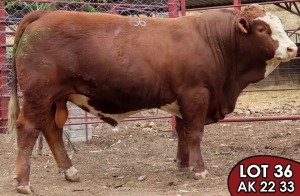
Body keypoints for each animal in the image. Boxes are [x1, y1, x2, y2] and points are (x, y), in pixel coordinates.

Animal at [8, 3, 296, 194]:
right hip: (39, 94)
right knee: (28, 129)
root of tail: (45, 13)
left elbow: (182, 131)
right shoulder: (196, 93)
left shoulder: (183, 98)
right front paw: (199, 169)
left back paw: (69, 171)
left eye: (280, 26)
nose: (293, 48)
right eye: (262, 28)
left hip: (53, 98)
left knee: (51, 130)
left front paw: (182, 164)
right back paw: (24, 183)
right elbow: (195, 132)